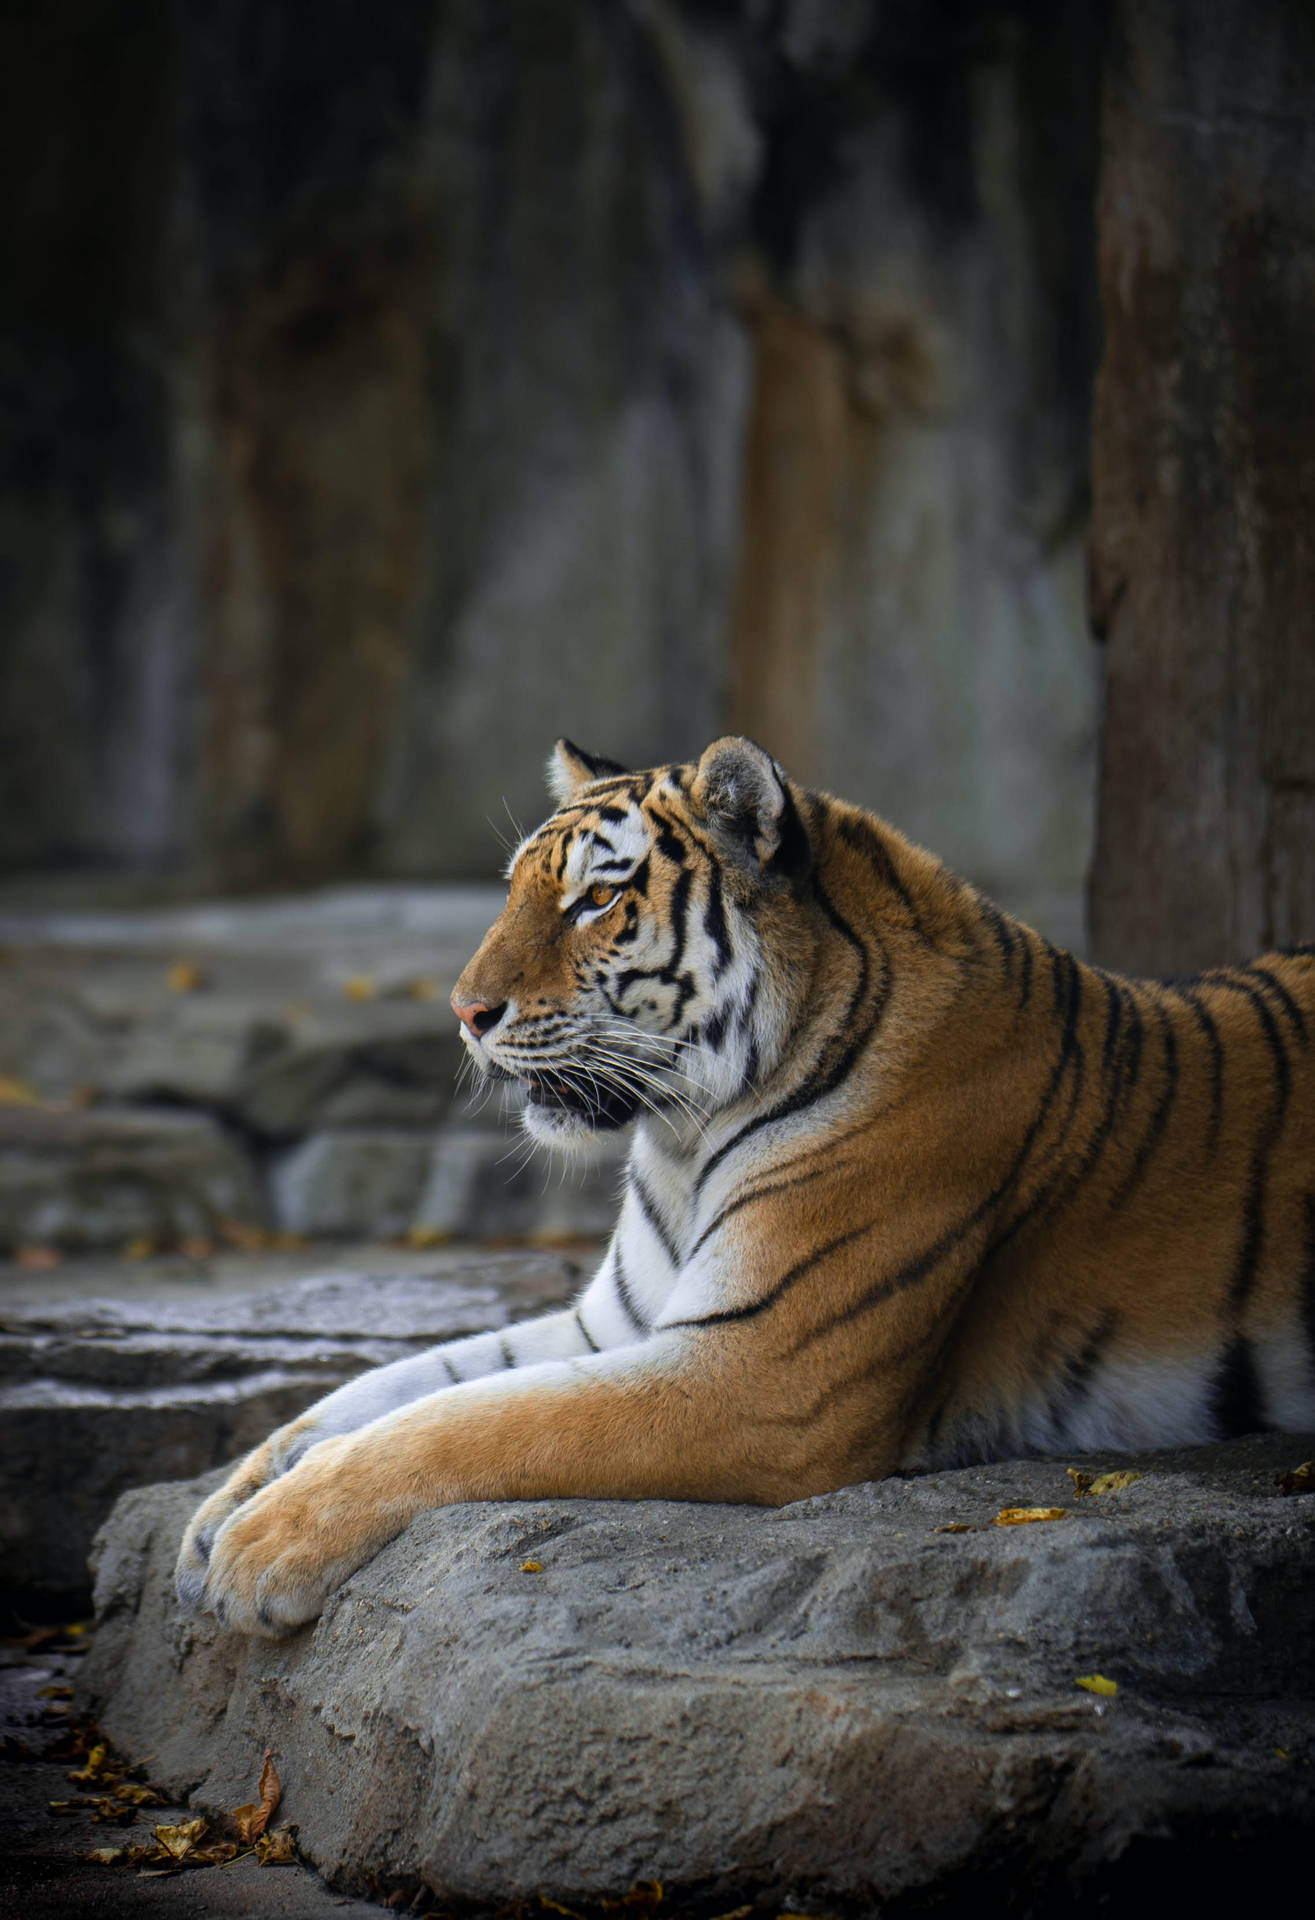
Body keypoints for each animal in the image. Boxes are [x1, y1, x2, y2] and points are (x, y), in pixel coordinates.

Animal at [174, 733, 1313, 1635]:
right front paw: (220, 1511)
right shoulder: (612, 1325)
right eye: (512, 890)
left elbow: (472, 1421)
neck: (683, 1137)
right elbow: (391, 1386)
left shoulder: (760, 1373)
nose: (463, 1013)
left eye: (597, 897)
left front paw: (262, 1546)